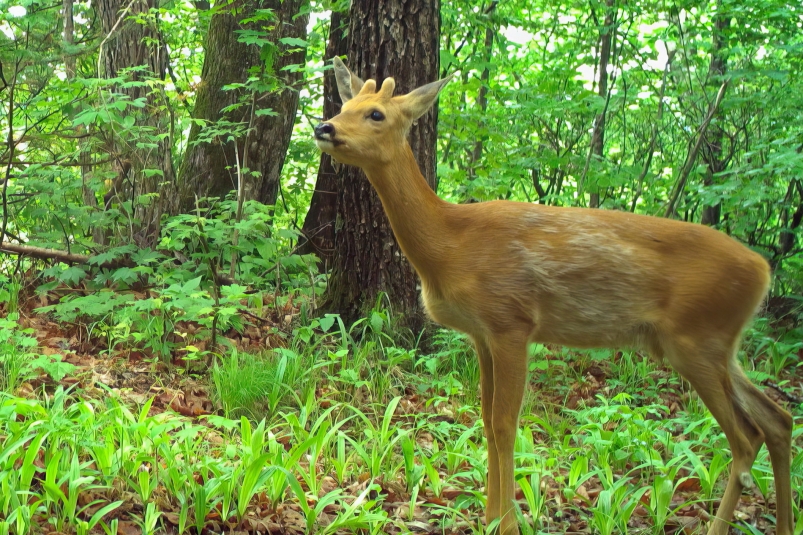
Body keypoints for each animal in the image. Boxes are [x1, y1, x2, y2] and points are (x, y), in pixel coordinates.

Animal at [312, 56, 792, 532]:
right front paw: (489, 518)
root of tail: (763, 269)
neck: (451, 244)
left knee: (746, 438)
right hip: (715, 345)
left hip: (697, 340)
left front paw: (507, 523)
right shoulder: (481, 334)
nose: (323, 127)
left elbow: (505, 423)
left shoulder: (511, 320)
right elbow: (485, 418)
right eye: (346, 104)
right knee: (778, 419)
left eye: (376, 114)